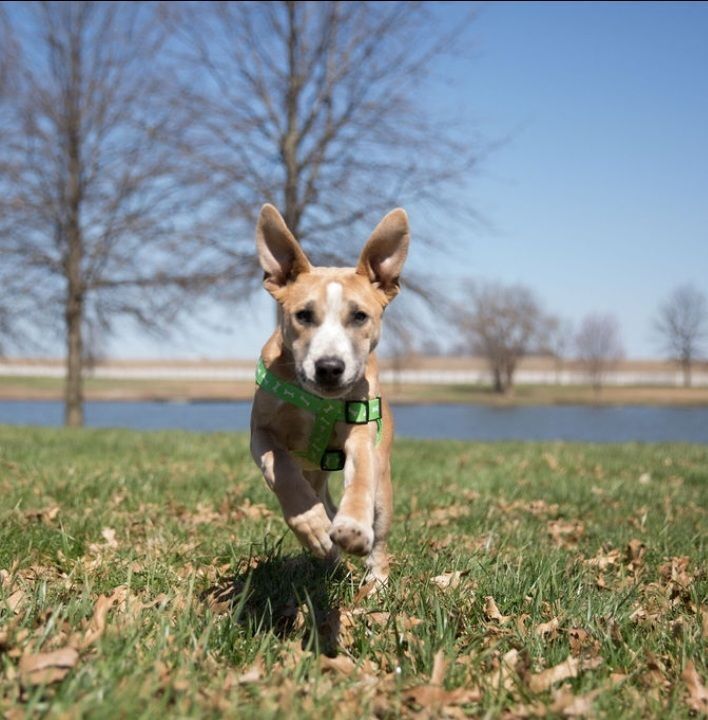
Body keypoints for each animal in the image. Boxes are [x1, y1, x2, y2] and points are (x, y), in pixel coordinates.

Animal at [253, 202, 410, 584]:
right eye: (303, 315)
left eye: (360, 316)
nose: (328, 367)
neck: (318, 403)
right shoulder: (260, 432)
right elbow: (282, 469)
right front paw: (311, 527)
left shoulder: (361, 432)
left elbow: (360, 478)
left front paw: (352, 527)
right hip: (315, 474)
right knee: (319, 498)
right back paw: (326, 548)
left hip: (384, 486)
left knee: (380, 532)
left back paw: (376, 580)